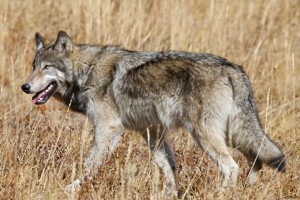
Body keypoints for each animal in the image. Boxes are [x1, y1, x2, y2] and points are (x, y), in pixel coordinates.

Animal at [21, 30, 286, 196]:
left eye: (47, 67)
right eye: (33, 66)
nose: (24, 87)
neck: (87, 72)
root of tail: (233, 68)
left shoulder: (109, 128)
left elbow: (89, 166)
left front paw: (70, 189)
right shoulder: (152, 132)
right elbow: (169, 169)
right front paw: (170, 194)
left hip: (205, 136)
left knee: (231, 167)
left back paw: (222, 194)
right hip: (232, 133)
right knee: (255, 158)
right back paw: (249, 190)